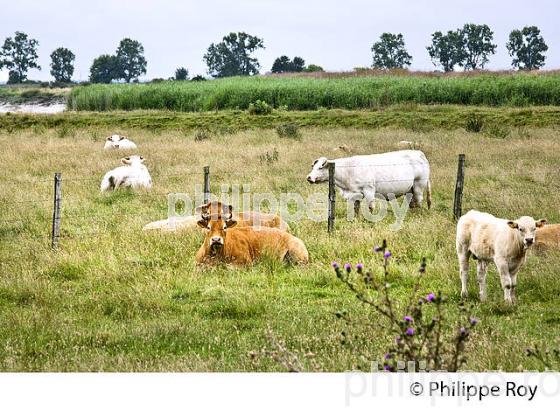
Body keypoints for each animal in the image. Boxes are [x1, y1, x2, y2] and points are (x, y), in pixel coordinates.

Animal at [306, 149, 434, 213]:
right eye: (313, 167)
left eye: (320, 167)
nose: (309, 177)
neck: (349, 170)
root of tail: (419, 153)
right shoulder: (355, 193)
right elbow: (356, 208)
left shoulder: (369, 190)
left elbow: (371, 207)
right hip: (410, 189)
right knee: (412, 202)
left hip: (419, 185)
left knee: (419, 201)